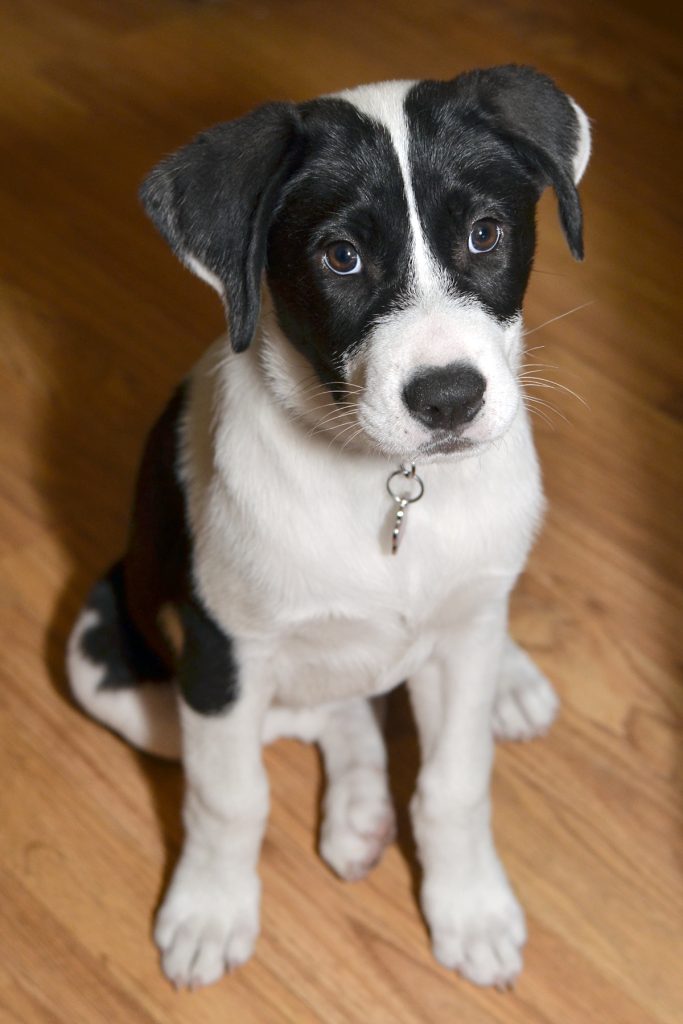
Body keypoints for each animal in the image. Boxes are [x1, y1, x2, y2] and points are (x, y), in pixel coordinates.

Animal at [66, 66, 589, 991]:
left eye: (485, 234)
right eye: (339, 256)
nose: (448, 398)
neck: (388, 485)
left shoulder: (455, 650)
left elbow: (454, 783)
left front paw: (469, 906)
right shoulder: (222, 651)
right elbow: (230, 797)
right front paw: (210, 909)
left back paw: (506, 684)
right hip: (104, 653)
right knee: (324, 713)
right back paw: (356, 811)